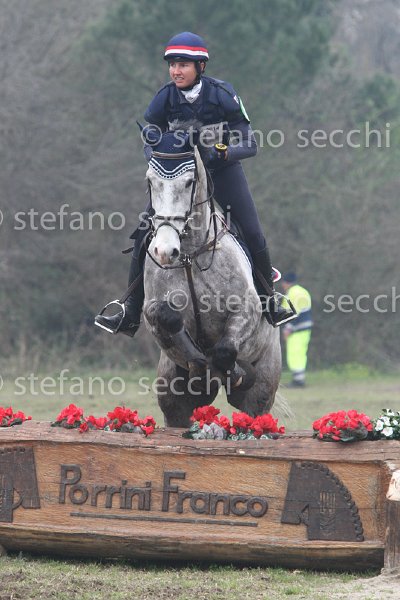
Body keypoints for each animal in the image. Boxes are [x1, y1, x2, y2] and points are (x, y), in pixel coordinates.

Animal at [141, 128, 281, 427]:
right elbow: (166, 316)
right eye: (150, 181)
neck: (189, 255)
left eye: (189, 182)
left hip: (261, 392)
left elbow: (225, 351)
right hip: (172, 399)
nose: (164, 251)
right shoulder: (151, 311)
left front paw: (233, 371)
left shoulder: (247, 309)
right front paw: (198, 361)